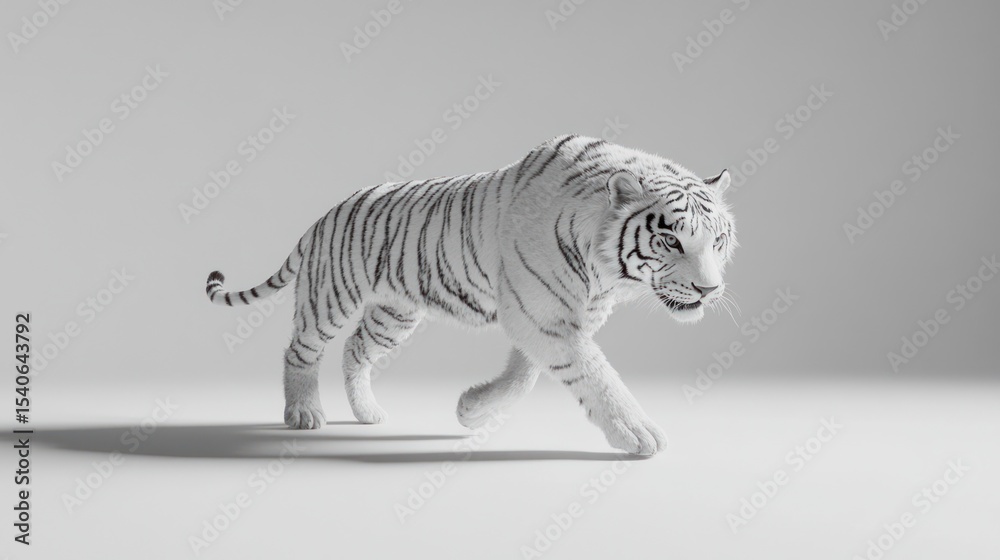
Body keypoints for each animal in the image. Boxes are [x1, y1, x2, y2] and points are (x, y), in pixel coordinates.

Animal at [206, 134, 736, 456]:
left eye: (717, 241)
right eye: (672, 241)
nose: (709, 289)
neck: (604, 270)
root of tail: (322, 216)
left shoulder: (551, 316)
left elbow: (524, 376)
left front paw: (470, 408)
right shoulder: (540, 313)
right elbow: (595, 375)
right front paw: (639, 433)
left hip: (393, 313)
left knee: (356, 349)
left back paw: (368, 414)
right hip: (330, 297)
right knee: (300, 350)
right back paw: (303, 413)